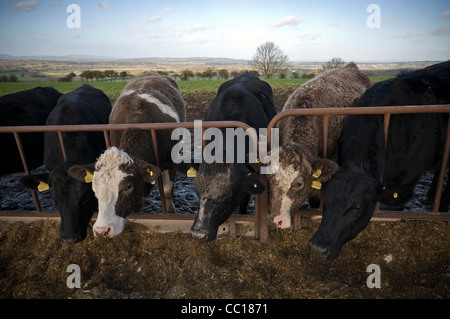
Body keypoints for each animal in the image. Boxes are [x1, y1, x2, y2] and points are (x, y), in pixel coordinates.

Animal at [68, 72, 186, 238]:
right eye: (94, 187)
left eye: (128, 186)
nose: (102, 230)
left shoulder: (170, 162)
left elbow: (168, 191)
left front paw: (171, 213)